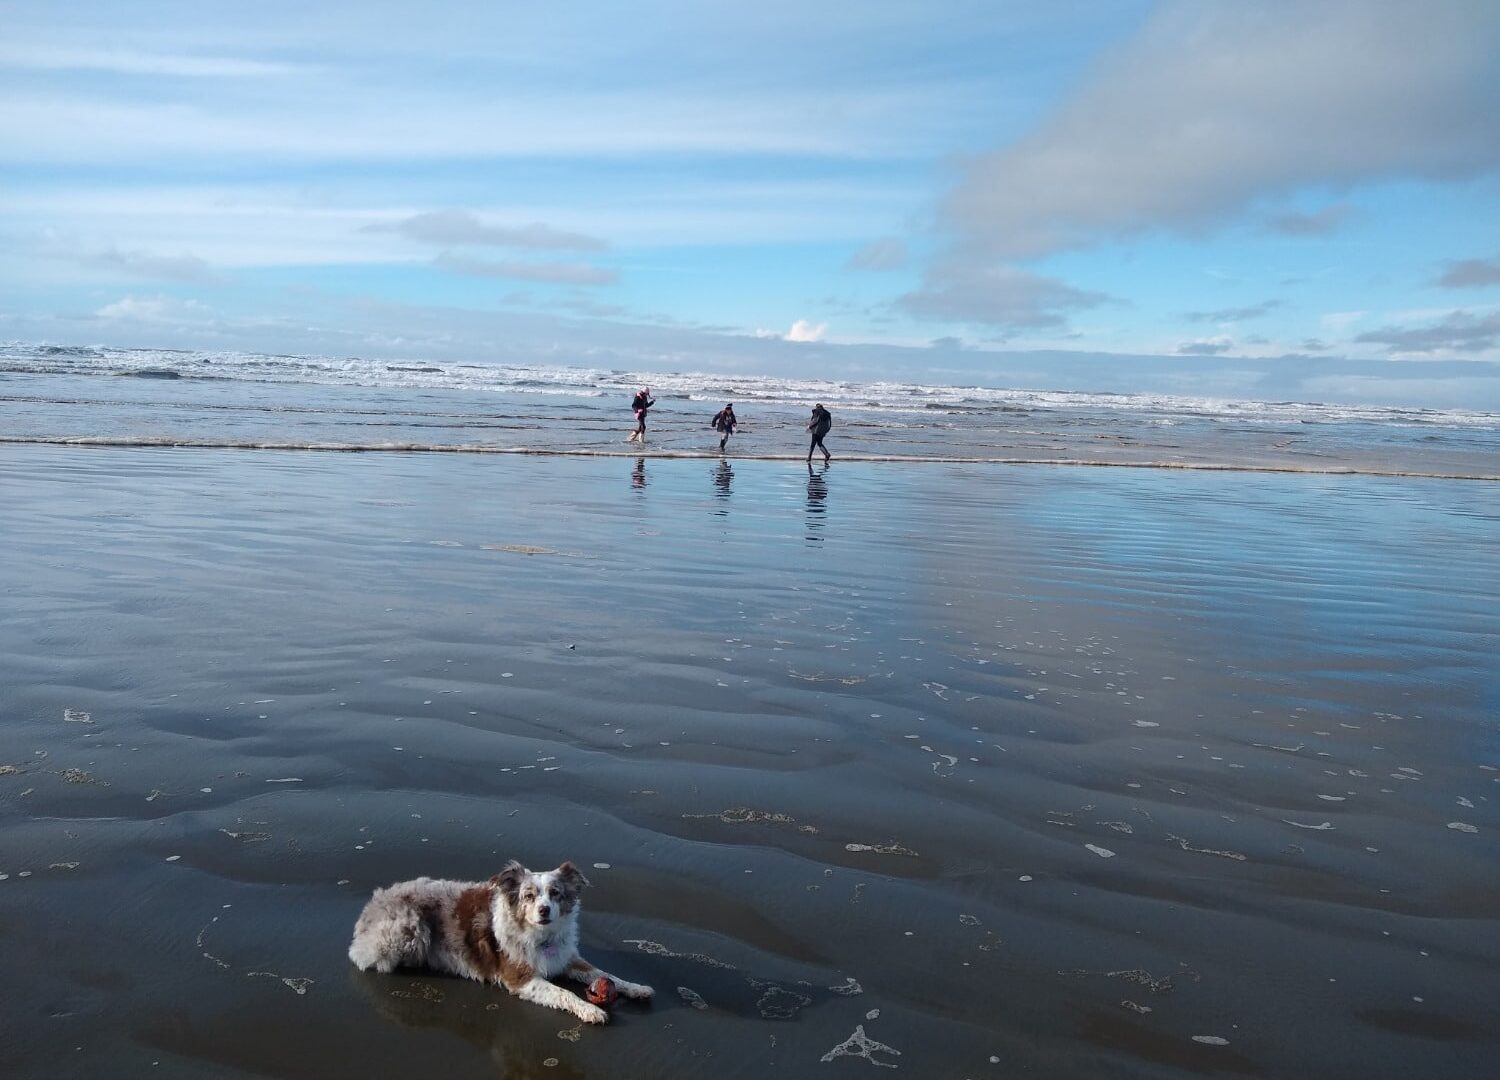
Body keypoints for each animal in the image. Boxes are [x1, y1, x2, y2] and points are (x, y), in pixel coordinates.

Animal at [351, 858, 657, 1026]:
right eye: (529, 896)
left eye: (555, 893)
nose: (544, 910)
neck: (542, 937)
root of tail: (375, 900)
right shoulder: (519, 977)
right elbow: (564, 993)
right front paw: (590, 1009)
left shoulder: (568, 958)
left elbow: (608, 975)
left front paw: (637, 987)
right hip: (410, 930)